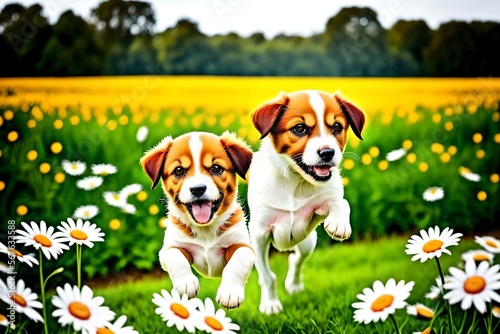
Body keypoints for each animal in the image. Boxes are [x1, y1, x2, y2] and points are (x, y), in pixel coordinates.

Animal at [141, 130, 256, 308]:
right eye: (179, 171)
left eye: (216, 168)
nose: (197, 189)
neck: (205, 229)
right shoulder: (169, 248)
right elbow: (175, 256)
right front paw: (186, 283)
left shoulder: (243, 245)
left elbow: (239, 258)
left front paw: (230, 292)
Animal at [248, 88, 366, 314]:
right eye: (300, 128)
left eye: (337, 127)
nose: (327, 153)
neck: (295, 183)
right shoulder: (259, 234)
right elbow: (267, 276)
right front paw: (270, 304)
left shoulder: (320, 207)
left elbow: (341, 202)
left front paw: (339, 223)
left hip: (308, 241)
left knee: (296, 259)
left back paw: (294, 285)